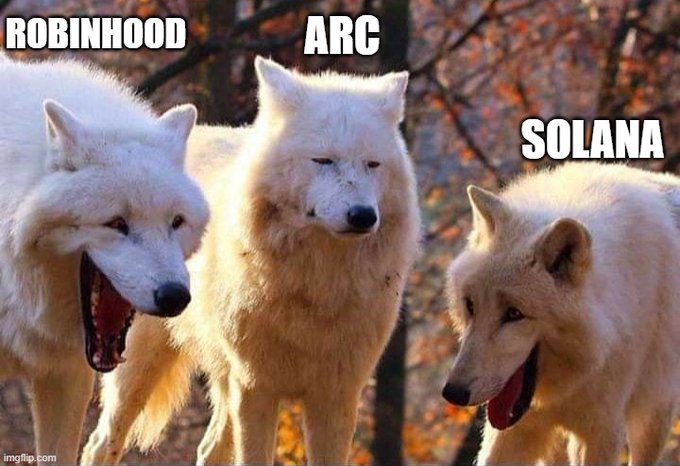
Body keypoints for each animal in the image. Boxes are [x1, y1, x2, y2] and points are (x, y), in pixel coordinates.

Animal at [81, 56, 421, 465]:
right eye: (323, 160)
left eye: (372, 164)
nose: (363, 216)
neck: (318, 285)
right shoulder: (256, 386)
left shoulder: (337, 394)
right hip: (139, 367)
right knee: (101, 443)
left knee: (209, 448)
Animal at [442, 163, 680, 465]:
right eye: (471, 305)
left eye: (514, 313)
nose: (453, 393)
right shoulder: (515, 428)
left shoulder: (602, 432)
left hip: (653, 418)